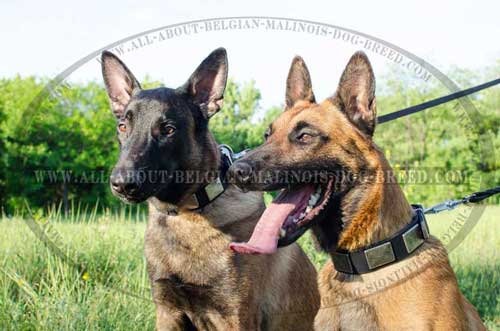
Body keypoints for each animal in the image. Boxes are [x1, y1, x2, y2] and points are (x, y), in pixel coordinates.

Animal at [101, 48, 320, 330]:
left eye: (168, 129)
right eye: (123, 126)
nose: (122, 183)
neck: (186, 214)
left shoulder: (235, 317)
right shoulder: (167, 311)